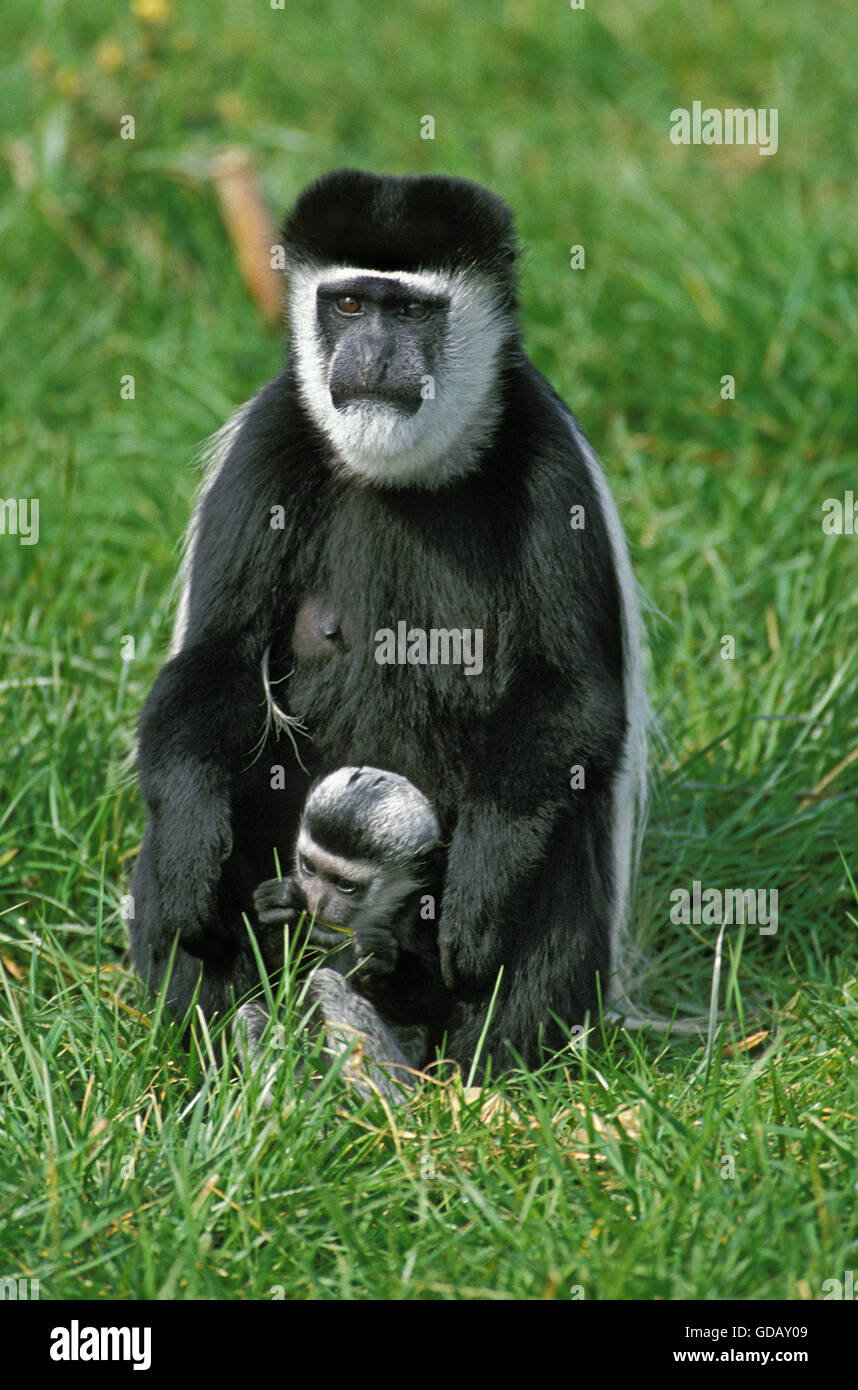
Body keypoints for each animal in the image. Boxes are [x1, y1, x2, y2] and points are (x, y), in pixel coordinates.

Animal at [128, 168, 649, 1078]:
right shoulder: (270, 438)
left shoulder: (553, 462)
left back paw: (484, 1075)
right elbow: (218, 659)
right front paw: (192, 861)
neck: (407, 469)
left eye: (408, 311)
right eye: (346, 304)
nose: (369, 356)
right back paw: (219, 1040)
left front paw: (479, 896)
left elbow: (570, 692)